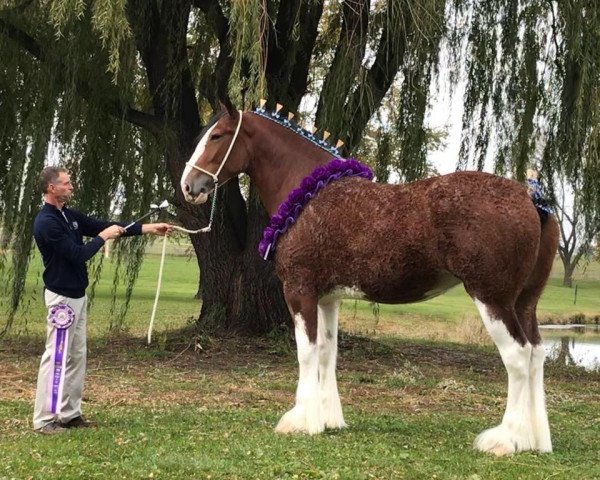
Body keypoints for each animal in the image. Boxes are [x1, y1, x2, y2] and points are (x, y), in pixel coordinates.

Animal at [178, 103, 556, 456]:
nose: (188, 186)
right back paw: (534, 440)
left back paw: (504, 440)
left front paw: (300, 421)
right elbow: (327, 352)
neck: (308, 196)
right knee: (537, 354)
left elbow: (306, 352)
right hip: (524, 303)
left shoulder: (299, 292)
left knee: (518, 356)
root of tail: (528, 197)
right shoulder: (328, 298)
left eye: (217, 136)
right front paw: (328, 420)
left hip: (492, 299)